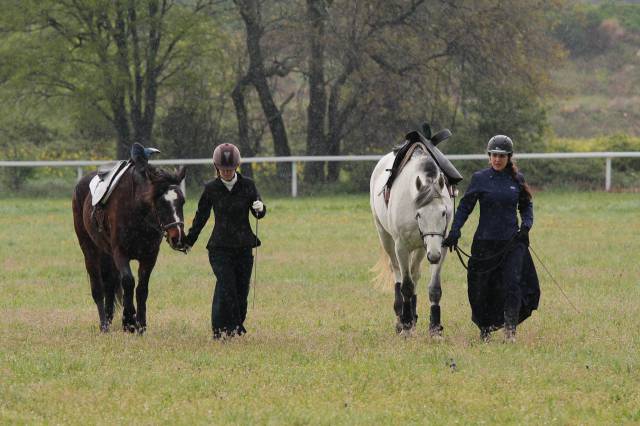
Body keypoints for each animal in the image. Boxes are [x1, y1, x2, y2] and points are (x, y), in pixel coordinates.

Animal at [74, 153, 188, 332]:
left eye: (182, 201)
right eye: (160, 202)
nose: (178, 237)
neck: (137, 209)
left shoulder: (150, 256)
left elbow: (142, 288)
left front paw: (141, 324)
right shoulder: (120, 253)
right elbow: (128, 281)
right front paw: (129, 321)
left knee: (109, 283)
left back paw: (109, 318)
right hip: (89, 249)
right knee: (98, 287)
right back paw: (104, 324)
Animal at [368, 146, 452, 336]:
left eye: (444, 212)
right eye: (419, 214)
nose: (433, 256)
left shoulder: (440, 247)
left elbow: (434, 288)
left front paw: (435, 329)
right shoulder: (402, 247)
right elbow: (406, 286)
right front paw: (405, 326)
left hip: (421, 249)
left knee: (415, 273)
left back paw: (413, 317)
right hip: (386, 238)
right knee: (397, 271)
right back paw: (401, 318)